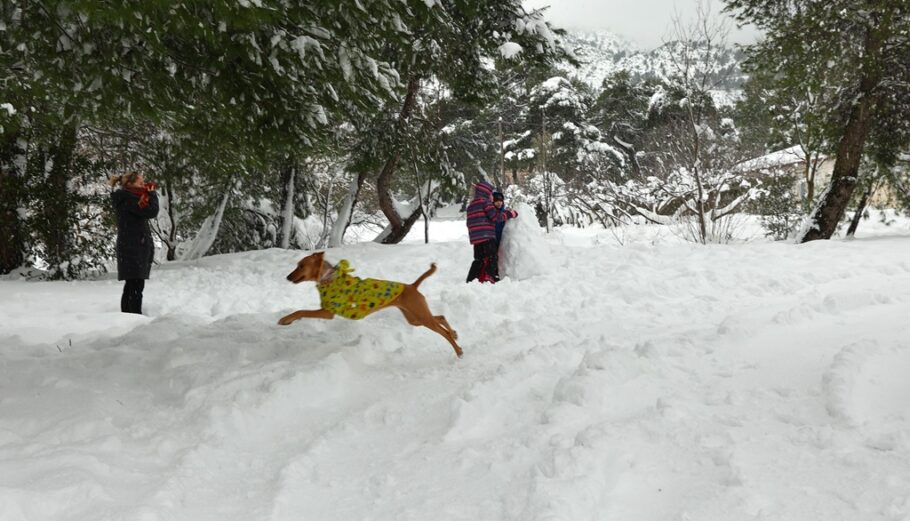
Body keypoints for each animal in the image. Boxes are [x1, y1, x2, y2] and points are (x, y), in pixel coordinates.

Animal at [278, 252, 464, 358]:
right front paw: (288, 320)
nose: (287, 277)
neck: (329, 278)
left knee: (443, 332)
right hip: (415, 318)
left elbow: (301, 310)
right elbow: (302, 311)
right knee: (441, 317)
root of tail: (412, 286)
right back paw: (454, 333)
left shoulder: (327, 313)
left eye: (301, 266)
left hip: (421, 317)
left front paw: (285, 319)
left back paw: (458, 350)